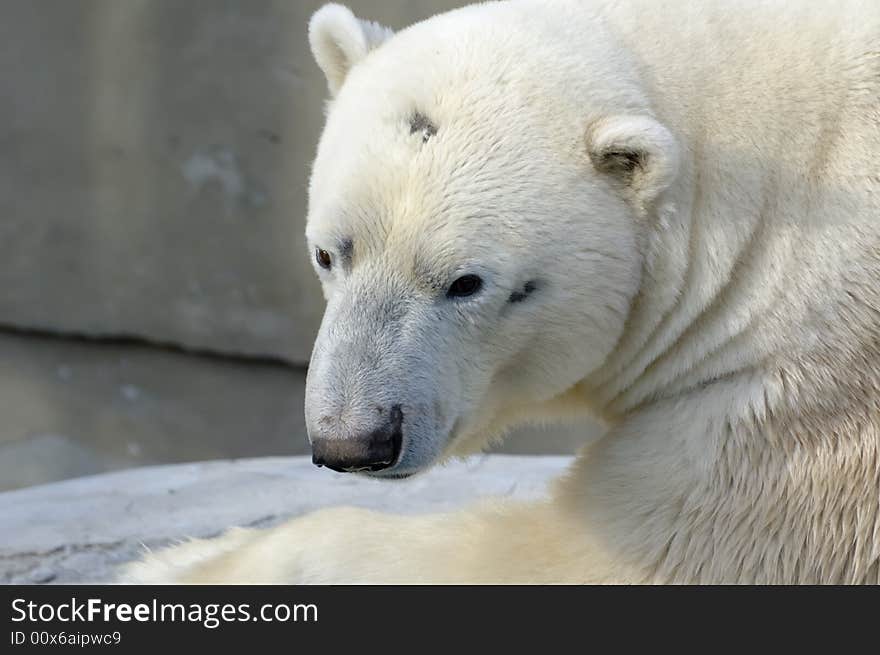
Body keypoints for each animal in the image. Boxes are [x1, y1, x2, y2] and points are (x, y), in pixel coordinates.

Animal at [125, 0, 880, 584]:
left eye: (466, 282)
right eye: (328, 253)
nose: (354, 441)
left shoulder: (796, 404)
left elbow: (596, 557)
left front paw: (184, 561)